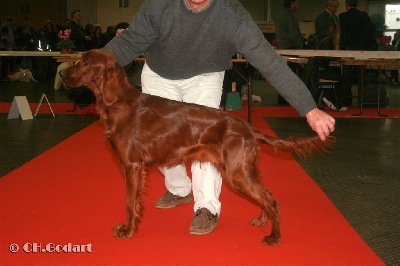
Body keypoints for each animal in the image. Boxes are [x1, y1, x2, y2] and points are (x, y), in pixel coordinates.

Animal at [60, 49, 334, 245]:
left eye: (84, 62)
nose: (62, 75)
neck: (116, 101)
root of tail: (248, 128)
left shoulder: (132, 166)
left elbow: (129, 202)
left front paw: (127, 231)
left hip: (236, 174)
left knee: (272, 200)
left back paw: (274, 237)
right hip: (243, 172)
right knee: (266, 195)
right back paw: (261, 220)